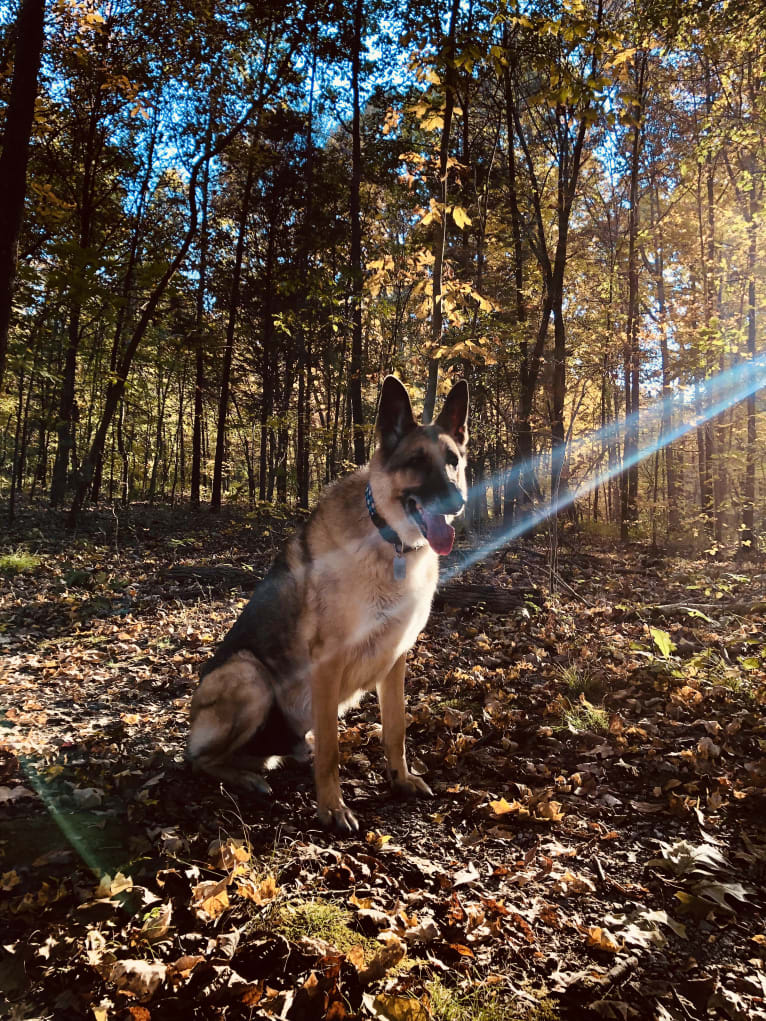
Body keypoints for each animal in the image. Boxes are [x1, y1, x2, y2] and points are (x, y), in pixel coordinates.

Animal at [188, 375, 471, 829]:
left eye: (453, 461)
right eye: (416, 461)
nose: (456, 502)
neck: (389, 541)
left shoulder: (396, 658)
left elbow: (396, 730)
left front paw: (401, 778)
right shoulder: (328, 662)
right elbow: (332, 751)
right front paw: (332, 808)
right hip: (247, 674)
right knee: (198, 760)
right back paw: (247, 778)